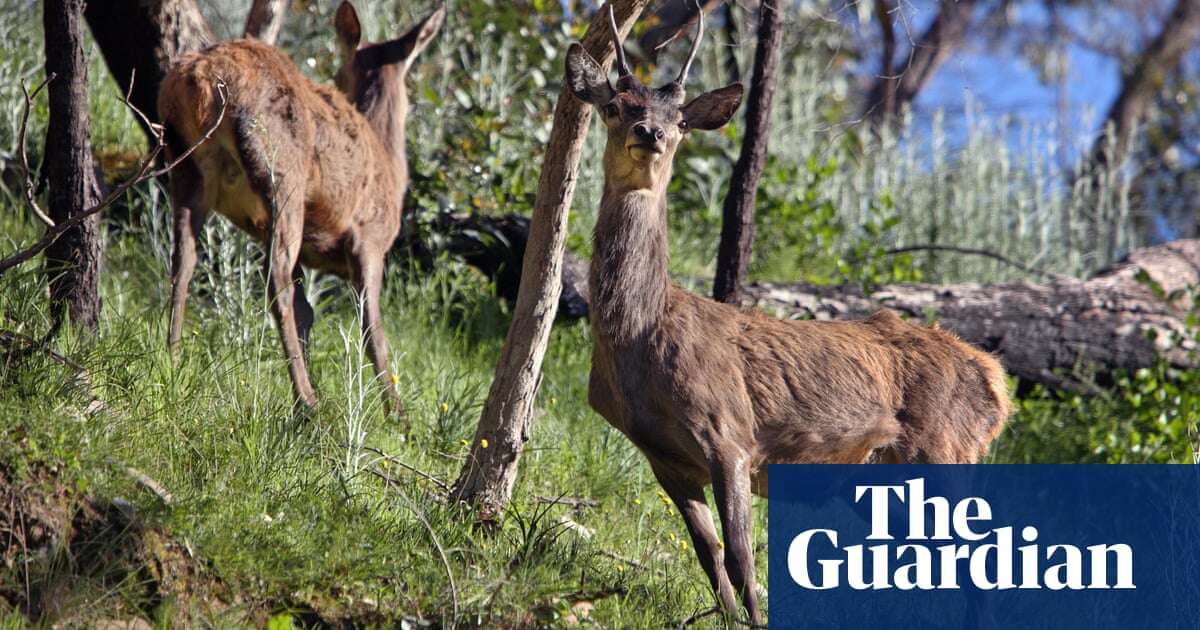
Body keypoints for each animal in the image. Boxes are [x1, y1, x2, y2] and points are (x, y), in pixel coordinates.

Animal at [157, 3, 444, 417]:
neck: (391, 164)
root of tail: (202, 79)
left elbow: (306, 310)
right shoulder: (369, 240)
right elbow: (372, 326)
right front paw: (397, 413)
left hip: (184, 165)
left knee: (183, 260)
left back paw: (174, 360)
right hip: (282, 173)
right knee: (273, 276)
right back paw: (307, 401)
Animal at [566, 6, 1008, 624]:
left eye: (680, 119)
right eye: (615, 105)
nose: (650, 133)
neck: (639, 338)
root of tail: (996, 381)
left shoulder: (728, 432)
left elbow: (743, 561)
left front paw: (755, 619)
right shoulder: (664, 457)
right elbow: (710, 558)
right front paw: (728, 619)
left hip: (946, 449)